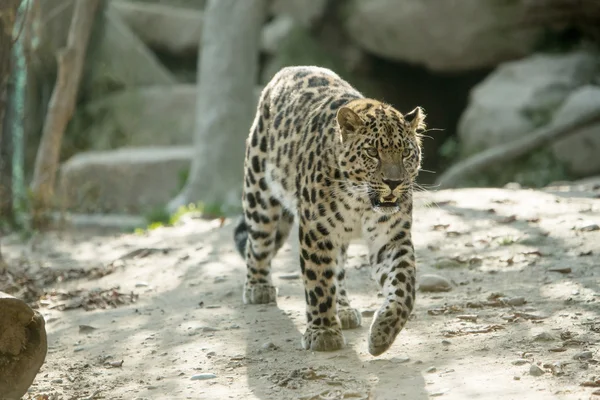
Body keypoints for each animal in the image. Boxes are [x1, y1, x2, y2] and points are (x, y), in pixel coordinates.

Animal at [232, 65, 424, 356]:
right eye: (372, 152)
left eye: (406, 154)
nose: (394, 182)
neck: (360, 201)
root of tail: (290, 69)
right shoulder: (317, 230)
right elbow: (319, 281)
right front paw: (323, 333)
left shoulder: (390, 238)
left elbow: (404, 285)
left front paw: (383, 332)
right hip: (259, 193)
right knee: (259, 244)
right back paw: (258, 287)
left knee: (339, 269)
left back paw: (343, 309)